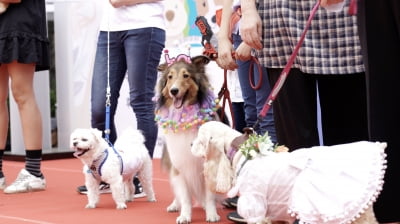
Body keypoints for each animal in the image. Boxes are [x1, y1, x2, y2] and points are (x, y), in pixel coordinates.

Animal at [155, 53, 222, 222]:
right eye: (170, 77)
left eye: (186, 76)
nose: (174, 91)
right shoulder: (180, 166)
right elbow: (185, 197)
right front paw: (184, 216)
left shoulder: (208, 166)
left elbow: (210, 197)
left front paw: (212, 214)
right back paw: (174, 205)